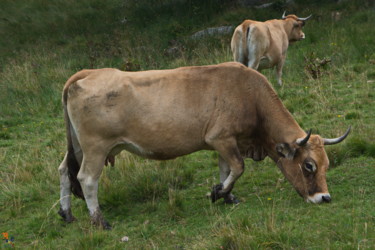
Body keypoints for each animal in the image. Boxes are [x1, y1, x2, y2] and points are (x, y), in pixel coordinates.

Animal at [57, 62, 352, 229]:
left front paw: (226, 194)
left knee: (64, 171)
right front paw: (217, 193)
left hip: (79, 147)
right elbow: (238, 167)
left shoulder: (226, 142)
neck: (249, 94)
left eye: (326, 164)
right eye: (308, 165)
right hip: (96, 148)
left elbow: (226, 170)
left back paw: (67, 213)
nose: (324, 197)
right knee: (86, 178)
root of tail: (87, 74)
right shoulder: (221, 138)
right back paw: (99, 220)